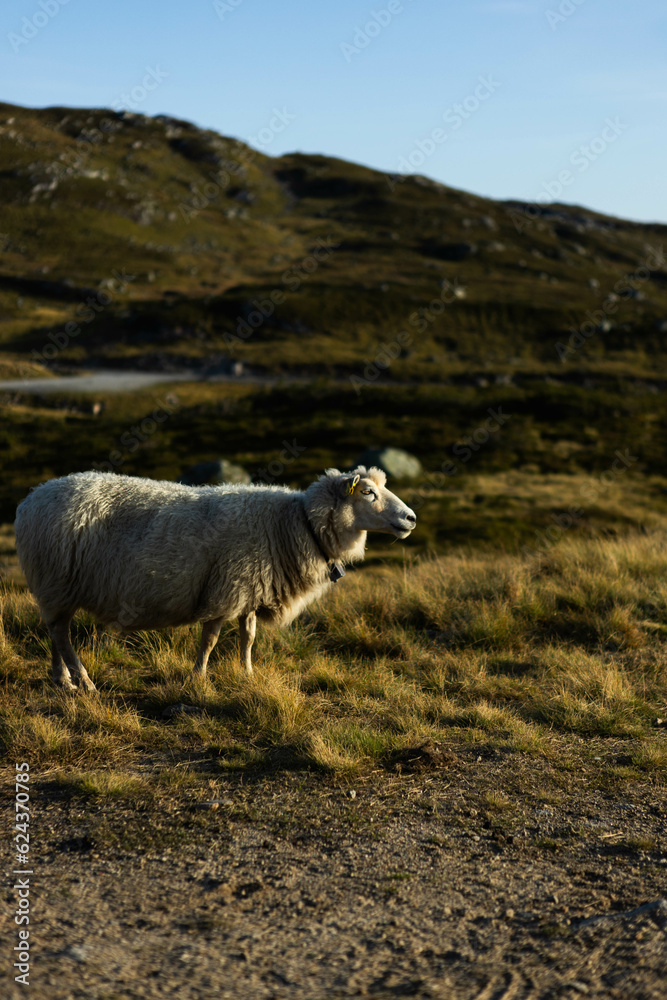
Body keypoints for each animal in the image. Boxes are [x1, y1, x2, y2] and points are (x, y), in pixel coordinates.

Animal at [14, 466, 416, 691]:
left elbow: (248, 638)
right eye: (368, 492)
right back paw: (83, 682)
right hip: (56, 579)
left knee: (56, 632)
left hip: (56, 588)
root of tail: (30, 500)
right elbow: (209, 640)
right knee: (61, 635)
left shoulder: (251, 589)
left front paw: (247, 674)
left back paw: (62, 679)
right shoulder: (227, 589)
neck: (295, 525)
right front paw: (198, 678)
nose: (412, 519)